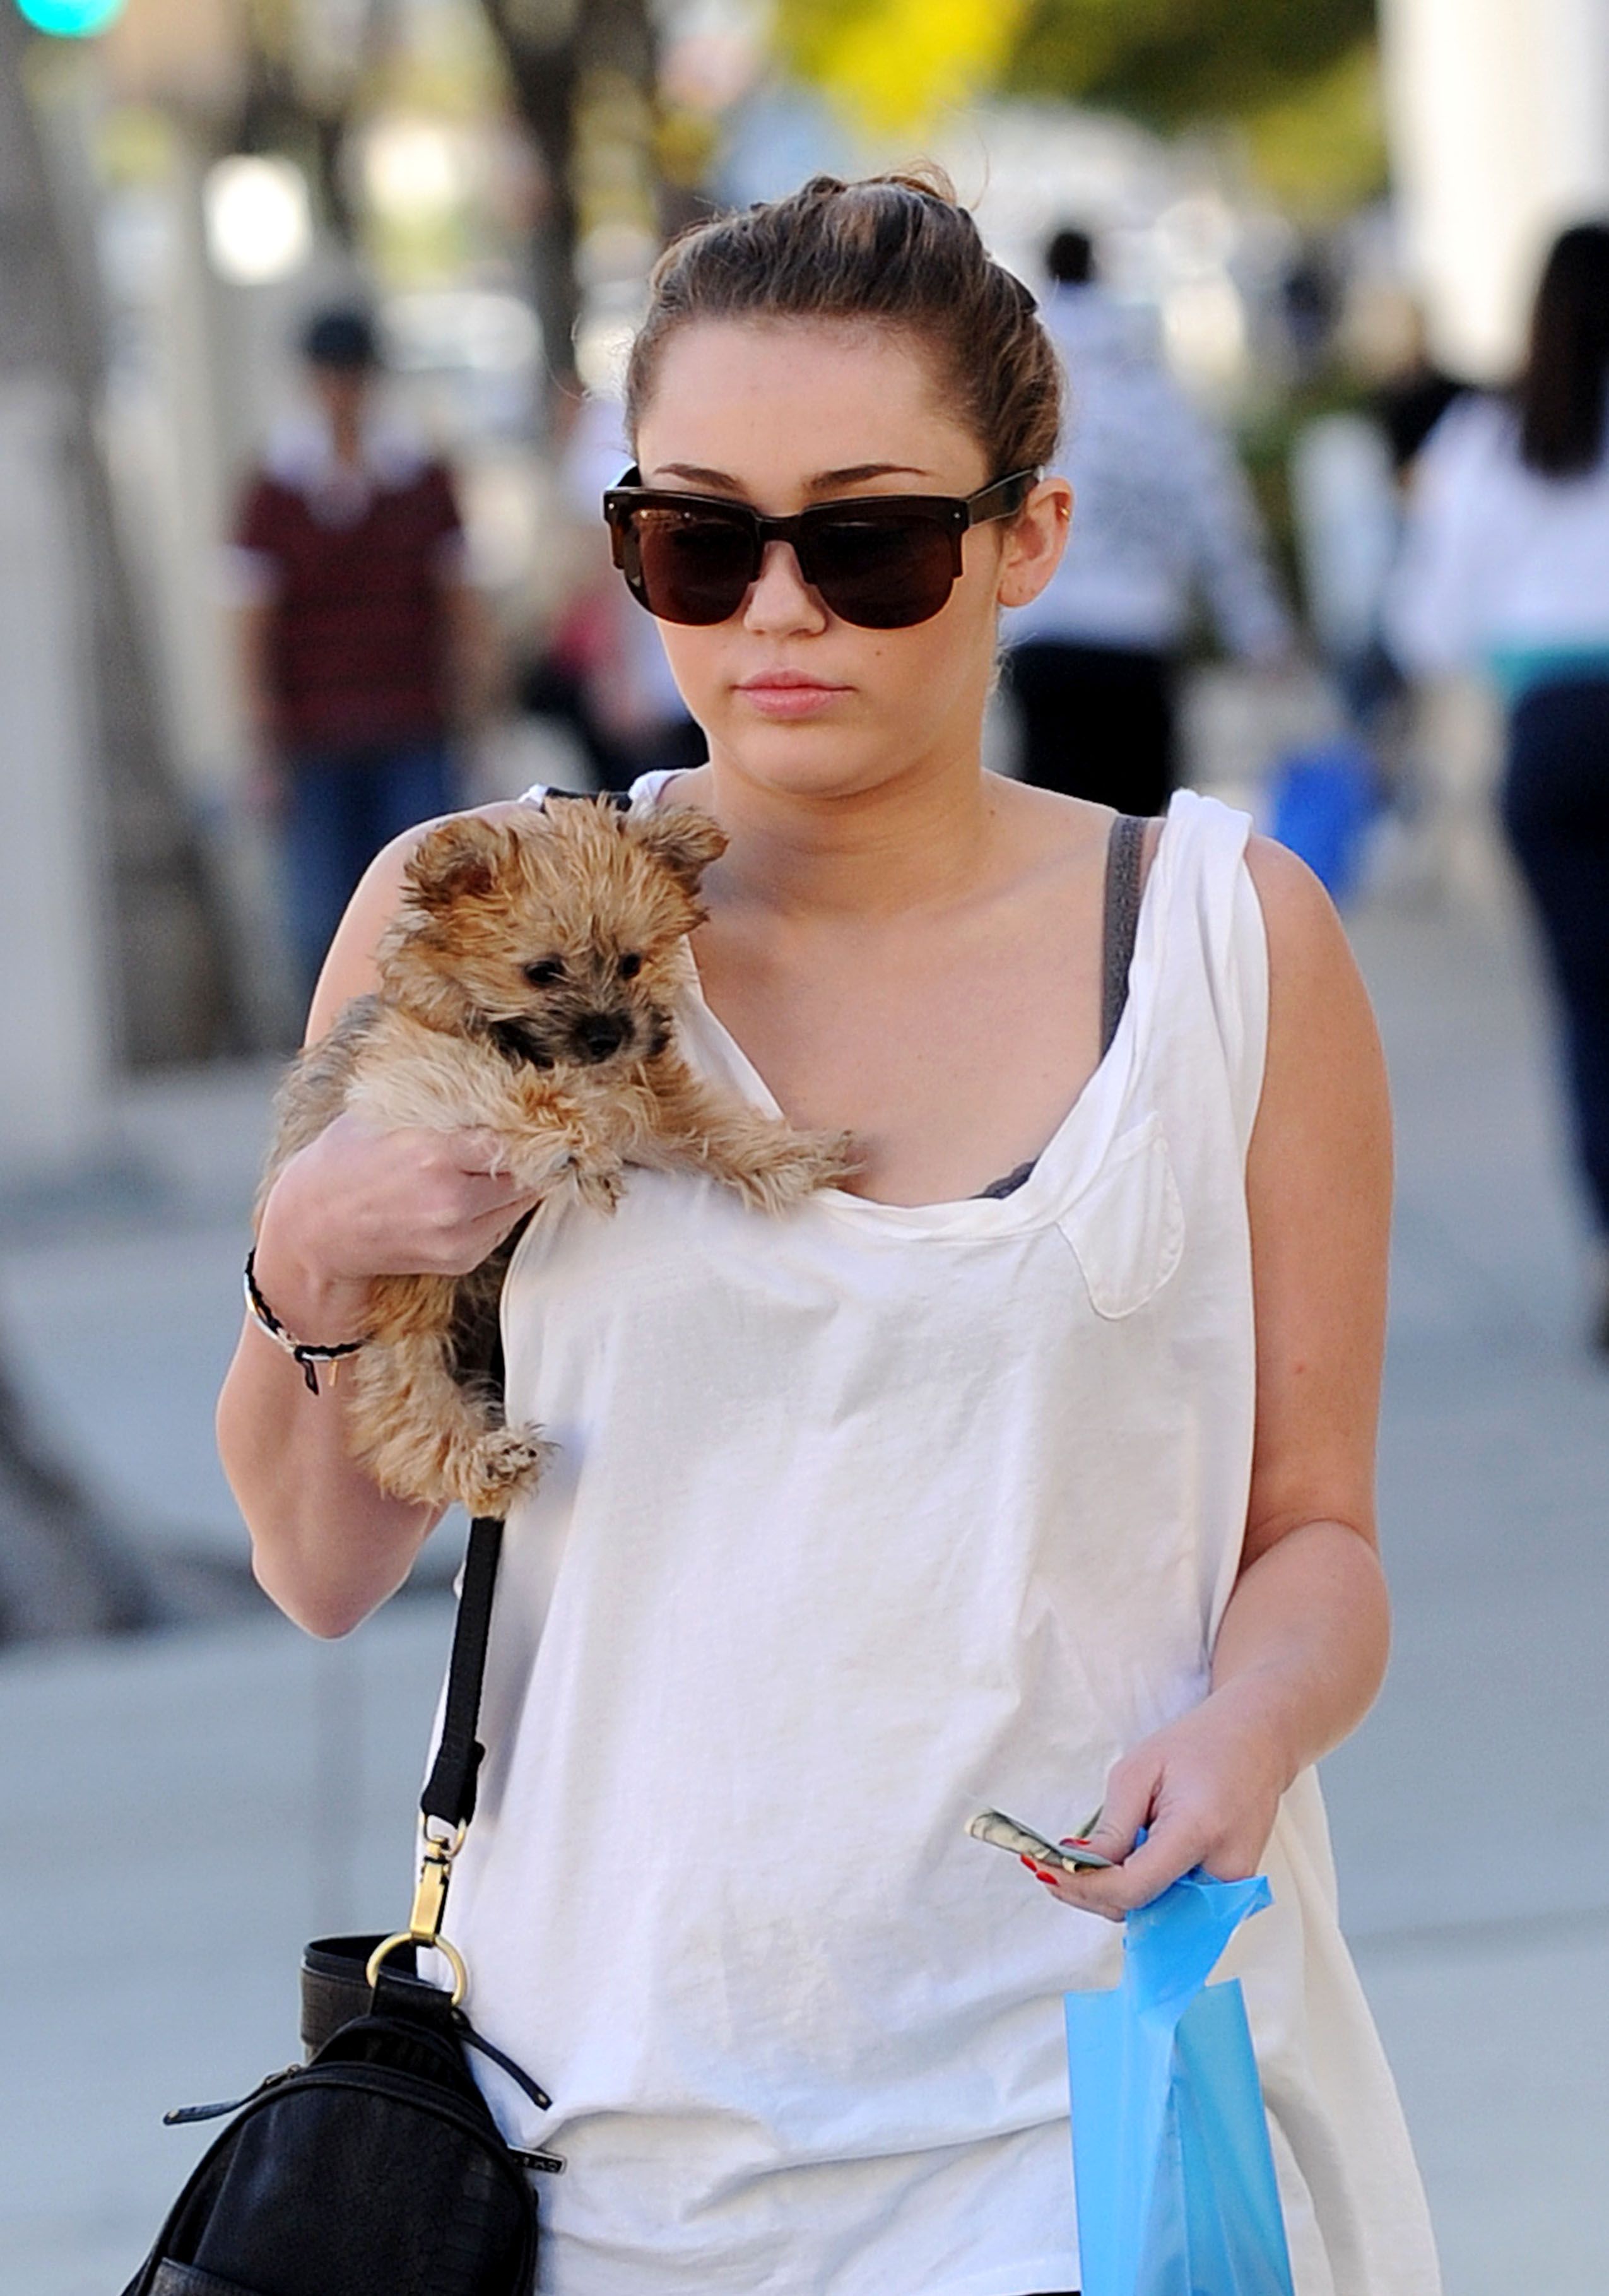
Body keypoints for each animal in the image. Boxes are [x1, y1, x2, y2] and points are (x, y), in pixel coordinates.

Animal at [259, 795, 855, 1516]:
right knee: (403, 1417)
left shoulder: (636, 1100)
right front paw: (573, 1145)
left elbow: (695, 1118)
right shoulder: (415, 1074)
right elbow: (510, 1087)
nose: (607, 1034)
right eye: (542, 971)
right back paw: (485, 1461)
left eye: (632, 962)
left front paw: (785, 1153)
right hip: (404, 1318)